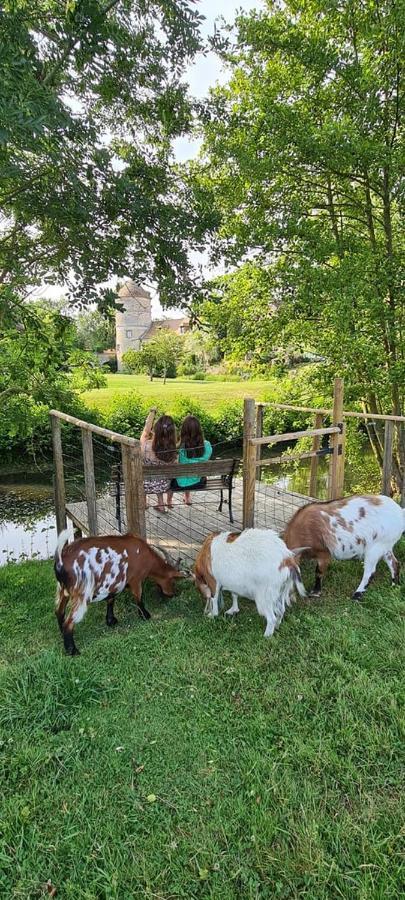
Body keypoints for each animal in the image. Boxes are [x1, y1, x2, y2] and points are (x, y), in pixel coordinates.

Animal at [53, 532, 181, 656]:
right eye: (173, 581)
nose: (173, 593)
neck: (145, 554)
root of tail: (61, 562)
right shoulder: (136, 580)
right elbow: (139, 598)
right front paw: (145, 615)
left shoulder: (114, 583)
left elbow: (111, 600)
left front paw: (111, 621)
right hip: (81, 594)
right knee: (69, 622)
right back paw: (72, 650)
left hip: (62, 590)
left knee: (59, 612)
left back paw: (62, 635)